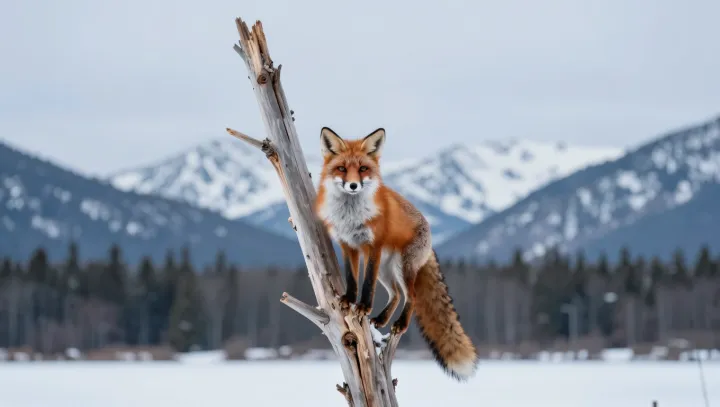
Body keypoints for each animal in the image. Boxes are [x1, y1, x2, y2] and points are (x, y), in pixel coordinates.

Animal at [313, 127, 478, 381]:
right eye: (342, 168)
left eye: (363, 169)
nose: (353, 186)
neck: (350, 215)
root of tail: (430, 241)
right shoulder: (348, 245)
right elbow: (352, 278)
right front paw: (350, 299)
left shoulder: (373, 245)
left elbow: (367, 283)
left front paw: (363, 306)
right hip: (386, 270)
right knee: (398, 294)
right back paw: (381, 318)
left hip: (402, 267)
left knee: (412, 296)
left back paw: (400, 323)